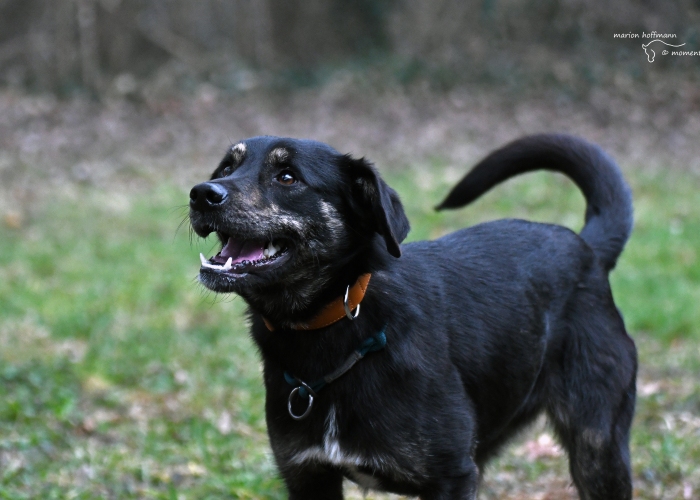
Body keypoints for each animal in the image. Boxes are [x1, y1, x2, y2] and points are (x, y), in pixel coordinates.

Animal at [189, 135, 636, 498]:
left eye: (287, 177)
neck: (338, 327)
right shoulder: (307, 475)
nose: (201, 193)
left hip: (598, 450)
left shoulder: (452, 476)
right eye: (226, 168)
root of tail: (589, 249)